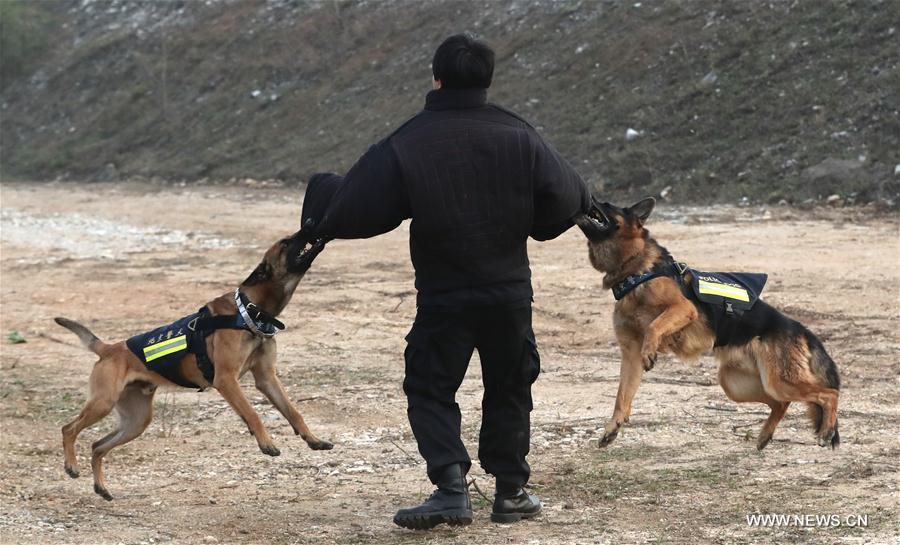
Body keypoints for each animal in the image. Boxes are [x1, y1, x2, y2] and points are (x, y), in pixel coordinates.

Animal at [55, 227, 334, 500]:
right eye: (285, 243)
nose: (309, 227)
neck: (249, 311)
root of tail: (109, 349)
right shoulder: (226, 380)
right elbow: (253, 413)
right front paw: (266, 442)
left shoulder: (267, 378)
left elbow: (293, 411)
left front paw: (313, 439)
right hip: (103, 403)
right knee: (68, 429)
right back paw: (71, 466)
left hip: (136, 421)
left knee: (97, 446)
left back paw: (101, 487)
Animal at [580, 199, 840, 450]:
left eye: (607, 204)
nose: (587, 199)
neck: (635, 268)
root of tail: (803, 331)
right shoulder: (630, 353)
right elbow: (622, 395)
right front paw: (613, 427)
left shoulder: (684, 309)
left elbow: (655, 326)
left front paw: (650, 351)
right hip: (736, 383)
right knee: (782, 402)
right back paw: (765, 435)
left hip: (778, 382)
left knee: (829, 393)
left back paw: (826, 431)